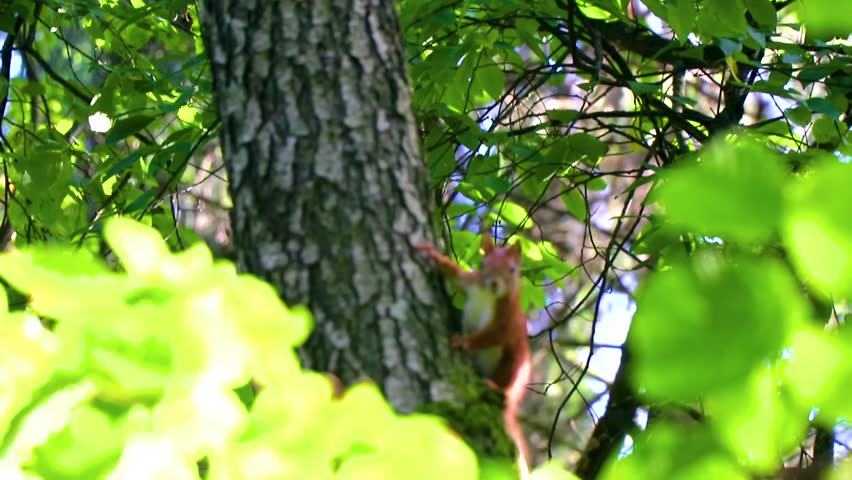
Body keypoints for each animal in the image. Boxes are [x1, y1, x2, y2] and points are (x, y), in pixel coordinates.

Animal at [416, 232, 532, 474]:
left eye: (512, 270)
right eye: (484, 264)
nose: (494, 284)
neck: (488, 296)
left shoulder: (506, 321)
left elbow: (489, 337)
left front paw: (464, 341)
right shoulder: (470, 283)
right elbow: (456, 275)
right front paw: (433, 255)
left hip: (514, 365)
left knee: (506, 389)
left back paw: (495, 388)